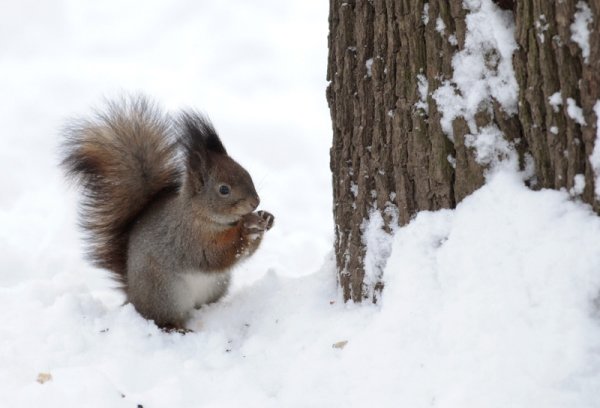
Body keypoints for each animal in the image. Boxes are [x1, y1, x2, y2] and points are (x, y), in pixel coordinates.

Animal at [61, 95, 274, 332]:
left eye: (246, 172)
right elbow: (214, 255)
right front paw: (247, 228)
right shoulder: (187, 239)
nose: (256, 202)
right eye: (224, 190)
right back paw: (177, 328)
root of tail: (133, 298)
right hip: (164, 293)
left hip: (217, 284)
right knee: (161, 318)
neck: (201, 216)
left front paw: (266, 218)